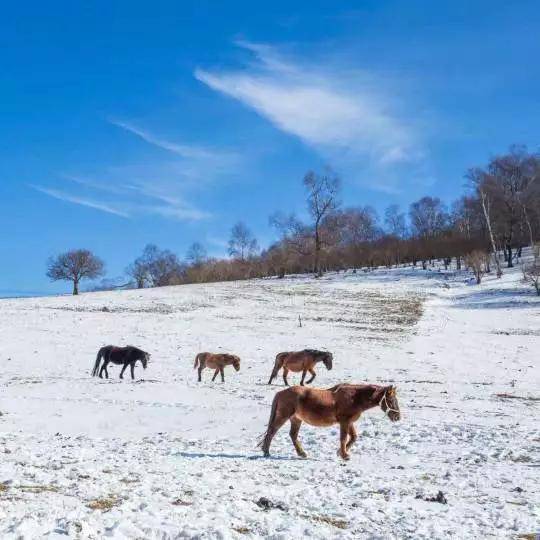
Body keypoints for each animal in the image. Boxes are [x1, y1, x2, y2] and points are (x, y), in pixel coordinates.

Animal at [258, 384, 400, 460]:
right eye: (391, 400)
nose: (398, 417)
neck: (354, 398)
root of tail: (281, 393)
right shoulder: (344, 422)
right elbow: (343, 438)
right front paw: (344, 455)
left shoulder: (349, 422)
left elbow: (353, 437)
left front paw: (340, 452)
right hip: (283, 416)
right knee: (272, 432)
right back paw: (266, 452)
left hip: (296, 419)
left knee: (292, 435)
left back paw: (302, 453)